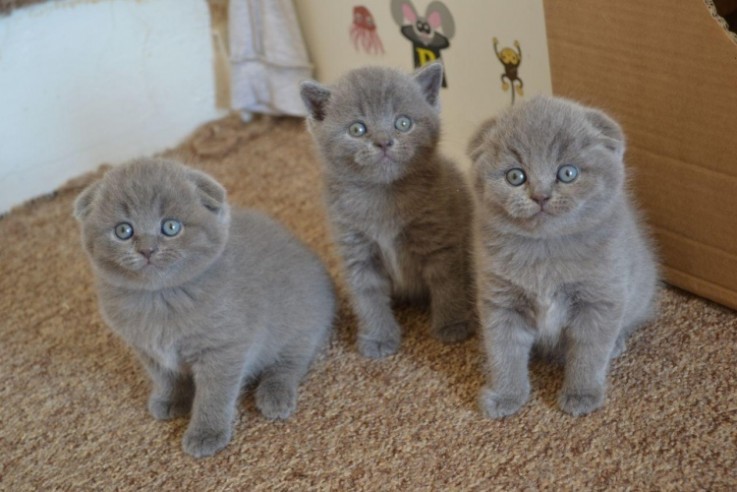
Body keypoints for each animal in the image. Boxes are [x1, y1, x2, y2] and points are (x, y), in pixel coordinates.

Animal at [70, 160, 334, 460]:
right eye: (123, 231)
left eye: (170, 226)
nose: (147, 249)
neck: (160, 299)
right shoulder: (146, 349)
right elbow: (166, 376)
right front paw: (171, 399)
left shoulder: (223, 347)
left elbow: (214, 394)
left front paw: (206, 433)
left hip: (299, 327)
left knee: (291, 363)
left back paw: (274, 396)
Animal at [468, 95, 660, 416]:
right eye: (515, 176)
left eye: (567, 173)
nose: (540, 195)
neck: (544, 254)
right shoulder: (500, 300)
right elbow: (503, 350)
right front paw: (507, 395)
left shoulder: (600, 297)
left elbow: (589, 351)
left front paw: (581, 394)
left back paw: (617, 343)